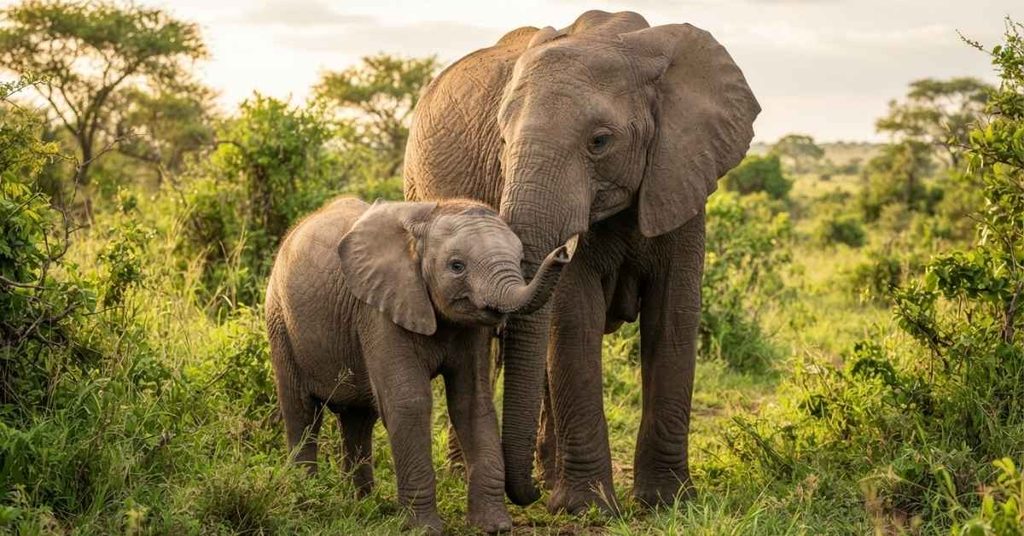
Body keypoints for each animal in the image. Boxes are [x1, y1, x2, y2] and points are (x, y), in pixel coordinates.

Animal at [264, 197, 574, 533]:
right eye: (456, 266)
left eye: (518, 260)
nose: (563, 253)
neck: (429, 215)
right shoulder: (379, 310)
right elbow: (409, 402)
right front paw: (424, 529)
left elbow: (472, 403)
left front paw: (494, 526)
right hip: (280, 321)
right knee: (301, 411)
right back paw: (306, 500)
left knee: (358, 418)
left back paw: (361, 504)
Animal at [403, 10, 760, 513]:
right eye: (501, 141)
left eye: (600, 141)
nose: (525, 496)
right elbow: (573, 319)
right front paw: (586, 508)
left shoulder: (681, 170)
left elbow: (673, 316)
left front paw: (667, 502)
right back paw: (483, 476)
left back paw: (548, 477)